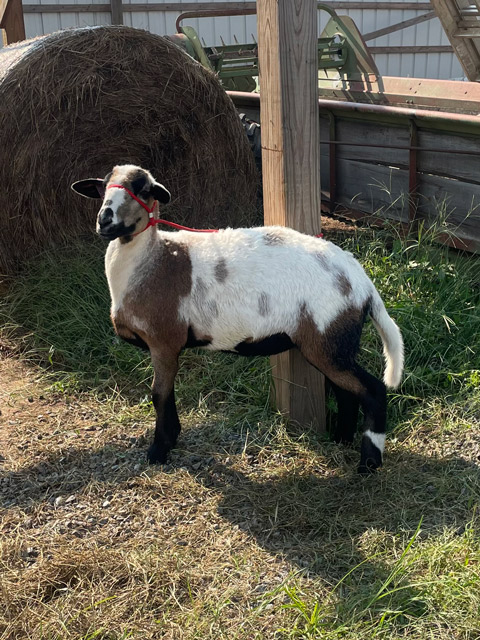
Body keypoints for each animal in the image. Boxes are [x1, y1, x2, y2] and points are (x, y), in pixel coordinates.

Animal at [70, 165, 402, 476]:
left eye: (143, 188)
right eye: (102, 186)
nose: (105, 220)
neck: (155, 259)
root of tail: (361, 280)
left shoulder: (164, 341)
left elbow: (158, 394)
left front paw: (159, 450)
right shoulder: (164, 345)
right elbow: (165, 392)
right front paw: (170, 439)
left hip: (328, 339)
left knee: (373, 391)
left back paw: (369, 462)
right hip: (331, 344)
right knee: (347, 393)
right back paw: (340, 439)